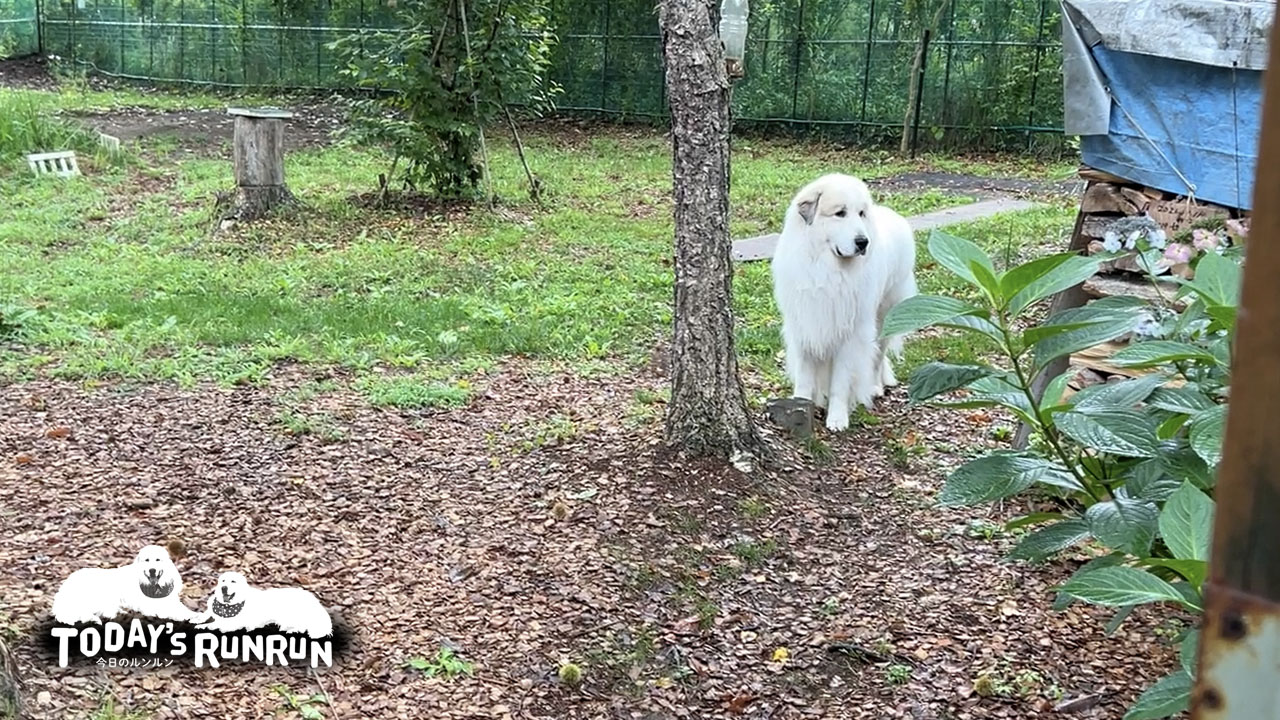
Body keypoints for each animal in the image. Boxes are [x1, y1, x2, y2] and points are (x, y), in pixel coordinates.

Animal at [196, 572, 332, 639]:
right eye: (223, 581)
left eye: (233, 581)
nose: (224, 588)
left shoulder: (234, 623)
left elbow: (214, 625)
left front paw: (203, 626)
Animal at [770, 173, 918, 431]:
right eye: (840, 213)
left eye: (861, 214)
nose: (863, 242)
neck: (825, 269)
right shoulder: (805, 326)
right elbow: (805, 377)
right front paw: (801, 405)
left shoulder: (849, 335)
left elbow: (840, 382)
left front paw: (837, 419)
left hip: (883, 319)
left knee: (877, 357)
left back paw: (875, 387)